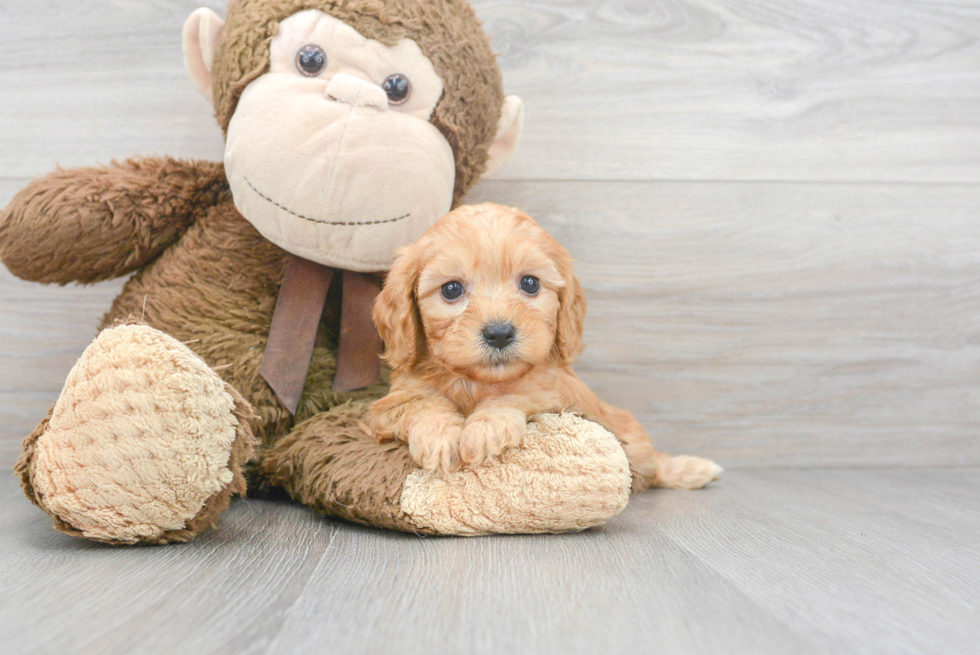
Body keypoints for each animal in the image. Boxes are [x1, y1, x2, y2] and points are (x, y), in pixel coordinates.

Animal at [364, 202, 724, 490]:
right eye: (451, 289)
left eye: (530, 283)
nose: (499, 333)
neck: (476, 382)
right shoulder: (385, 408)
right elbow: (421, 403)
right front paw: (439, 437)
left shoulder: (554, 394)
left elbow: (517, 393)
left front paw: (485, 428)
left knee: (654, 467)